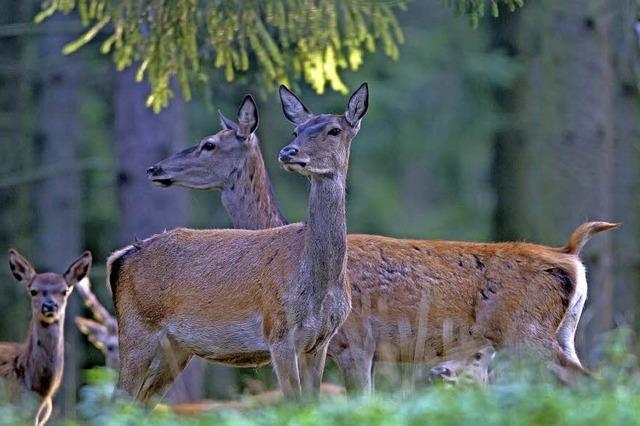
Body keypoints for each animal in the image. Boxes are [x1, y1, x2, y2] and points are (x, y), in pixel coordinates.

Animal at [110, 83, 370, 402]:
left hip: (175, 348)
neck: (319, 284)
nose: (288, 152)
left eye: (334, 130)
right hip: (136, 330)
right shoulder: (278, 333)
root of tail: (120, 257)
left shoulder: (319, 343)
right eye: (295, 131)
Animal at [148, 93, 616, 392]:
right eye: (298, 128)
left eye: (209, 144)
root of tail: (571, 255)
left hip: (526, 333)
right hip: (561, 333)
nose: (155, 168)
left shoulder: (356, 342)